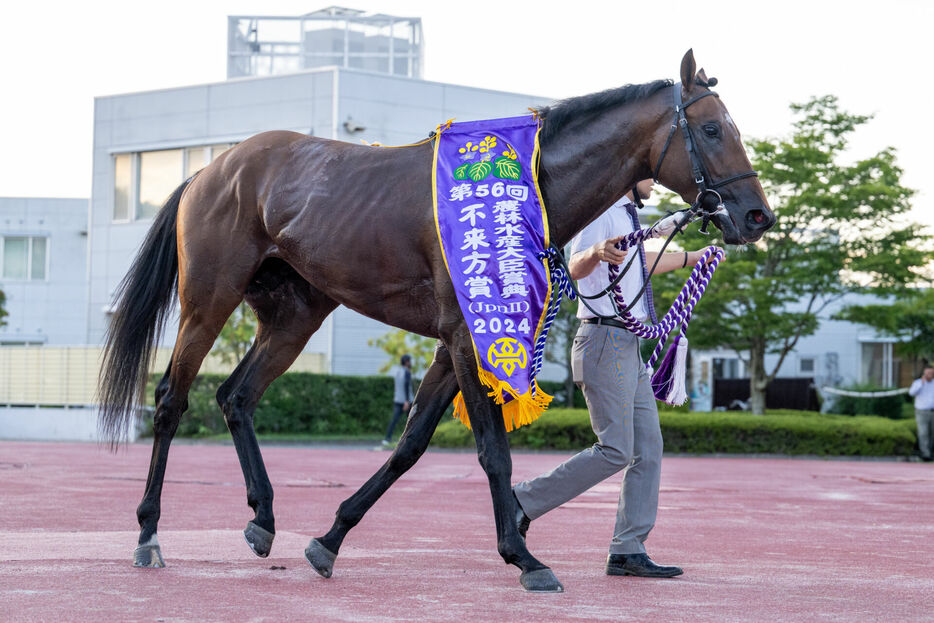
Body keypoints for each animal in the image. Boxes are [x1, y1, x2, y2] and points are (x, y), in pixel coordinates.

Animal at [100, 51, 776, 592]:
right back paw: (148, 534)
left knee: (236, 395)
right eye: (712, 128)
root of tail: (212, 169)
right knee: (171, 400)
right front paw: (524, 557)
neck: (525, 185)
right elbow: (492, 451)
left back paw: (263, 518)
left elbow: (411, 443)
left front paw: (330, 537)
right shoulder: (468, 334)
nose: (757, 215)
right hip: (209, 297)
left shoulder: (456, 342)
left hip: (295, 313)